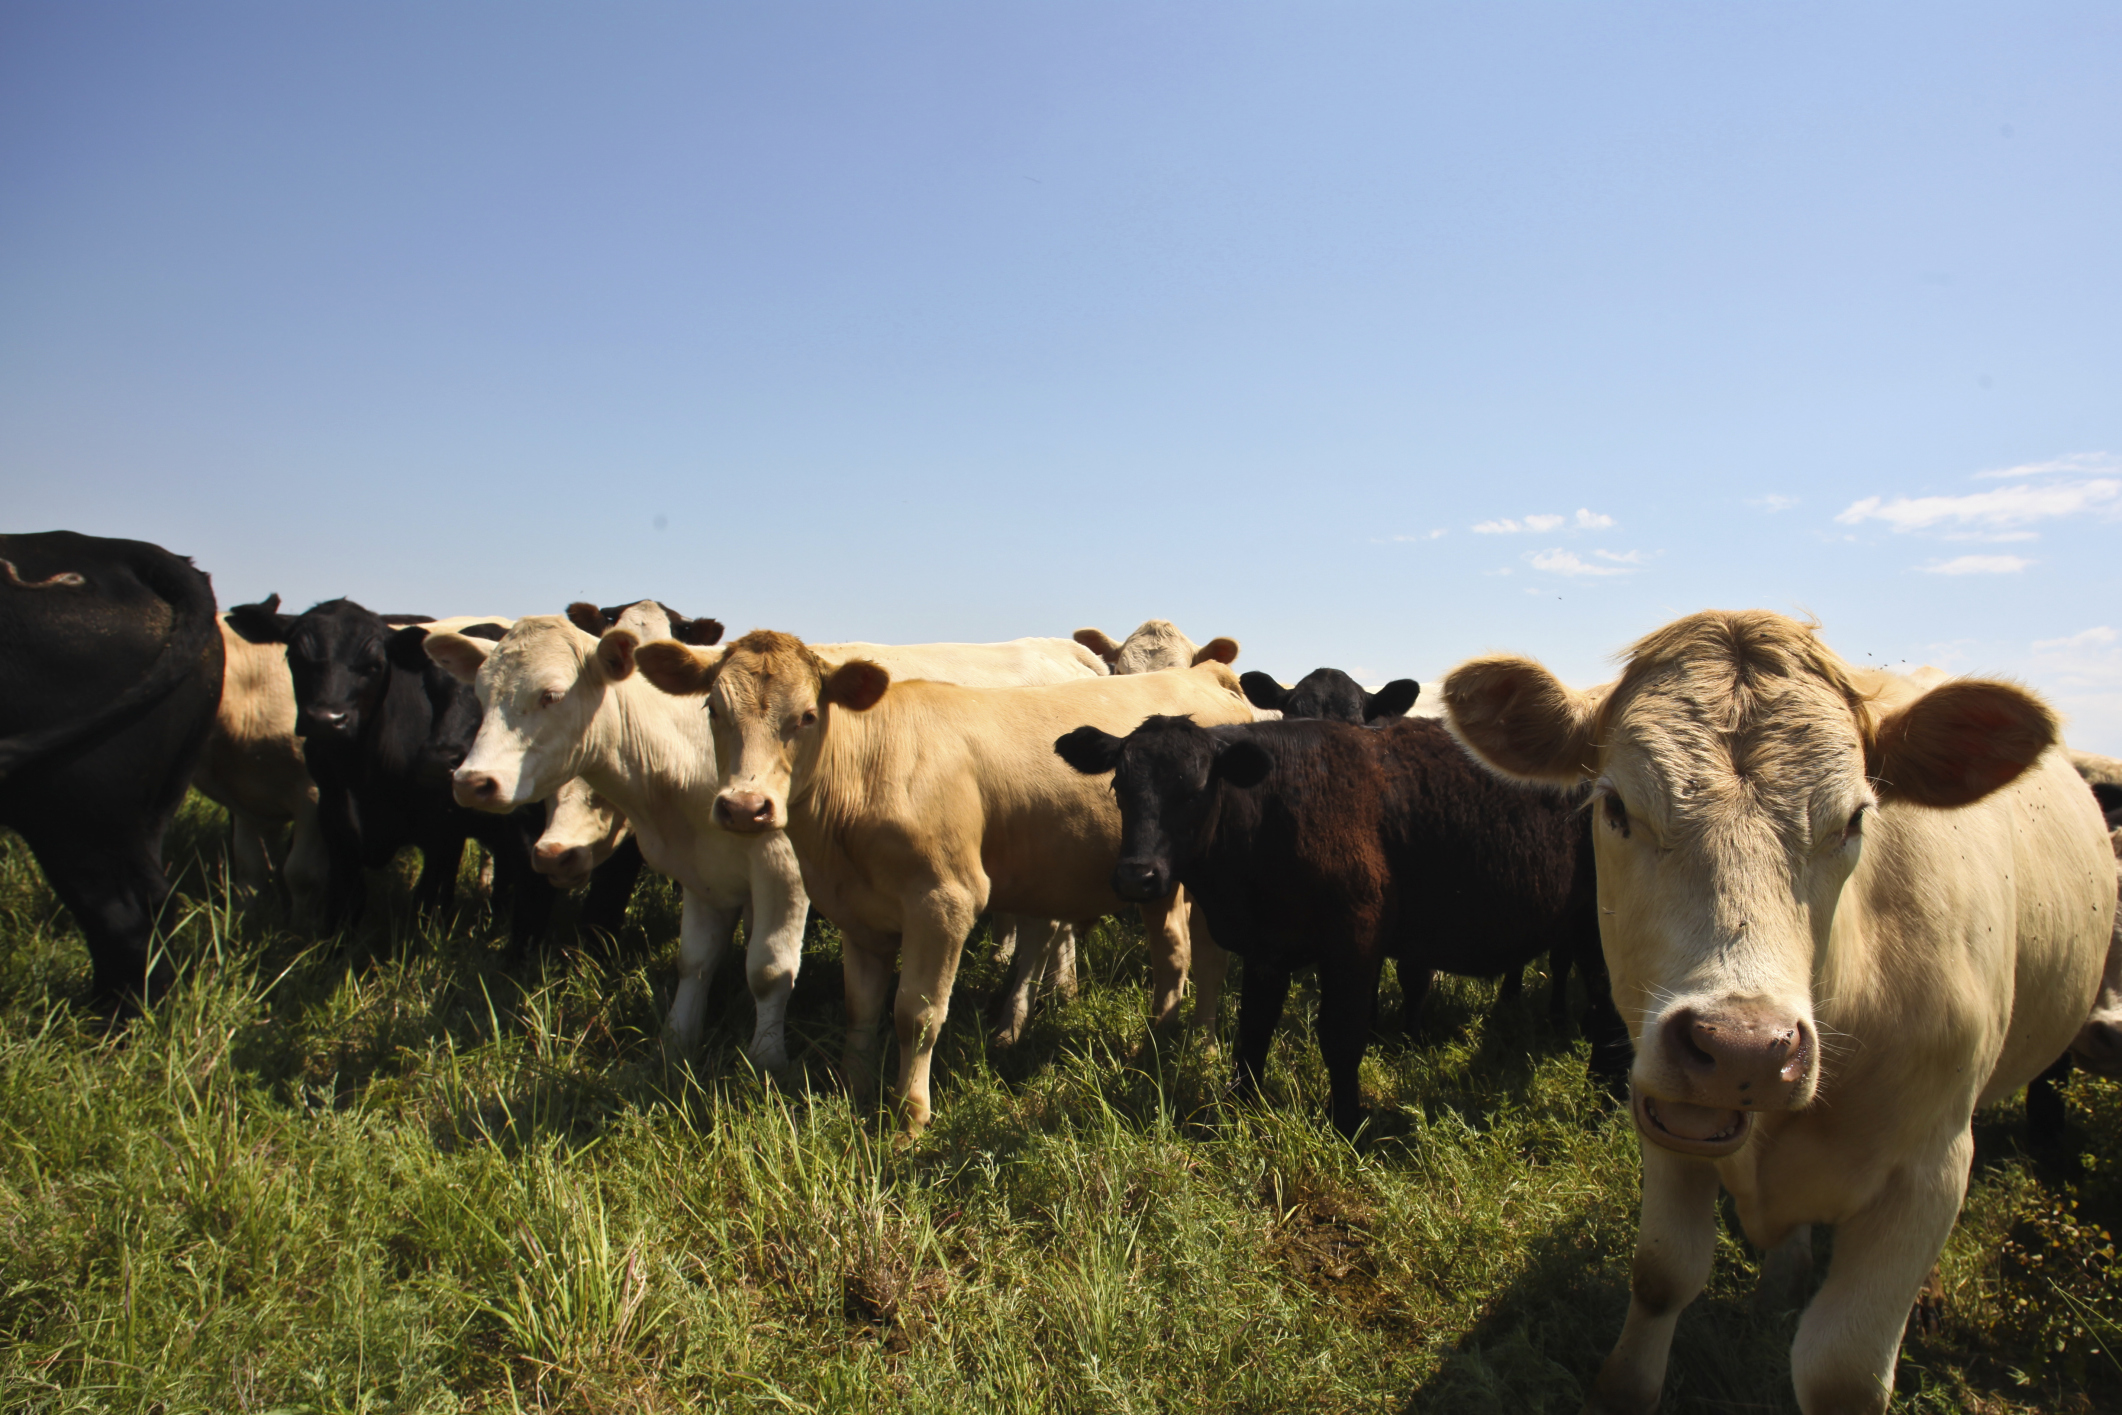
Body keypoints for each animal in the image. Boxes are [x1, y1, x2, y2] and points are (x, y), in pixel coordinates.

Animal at [0, 536, 223, 1014]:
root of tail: (118, 549)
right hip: (150, 804)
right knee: (155, 900)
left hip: (73, 807)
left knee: (122, 917)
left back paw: (104, 1019)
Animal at [227, 594, 560, 958]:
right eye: (295, 656)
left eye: (374, 664)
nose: (327, 720)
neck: (364, 776)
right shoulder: (335, 825)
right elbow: (345, 901)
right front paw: (334, 955)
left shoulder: (444, 836)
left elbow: (428, 902)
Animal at [628, 623, 1256, 1137]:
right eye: (713, 709)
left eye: (807, 715)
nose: (744, 807)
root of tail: (1206, 677)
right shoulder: (856, 909)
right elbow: (861, 1004)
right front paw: (854, 1088)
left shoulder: (945, 901)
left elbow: (918, 1013)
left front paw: (909, 1117)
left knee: (1188, 955)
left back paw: (1172, 1049)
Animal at [1052, 708, 1629, 1137]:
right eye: (1120, 788)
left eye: (1194, 790)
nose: (1137, 876)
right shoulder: (1266, 949)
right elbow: (1252, 1032)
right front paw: (1240, 1109)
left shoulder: (1354, 938)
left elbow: (1342, 1034)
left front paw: (1347, 1125)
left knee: (1611, 1019)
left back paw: (1606, 1113)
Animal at [1434, 610, 2113, 1415]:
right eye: (1615, 807)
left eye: (1854, 818)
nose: (1742, 1048)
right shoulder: (1667, 1109)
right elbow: (1662, 1273)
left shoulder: (1930, 1168)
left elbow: (1842, 1368)